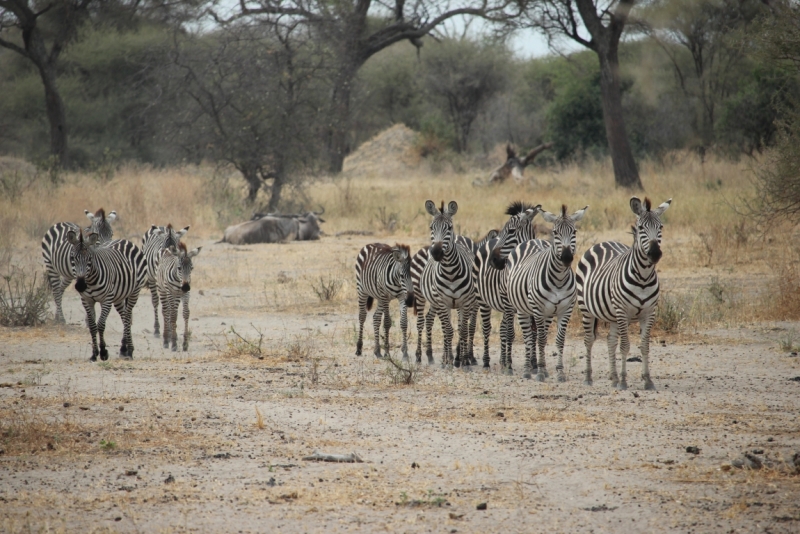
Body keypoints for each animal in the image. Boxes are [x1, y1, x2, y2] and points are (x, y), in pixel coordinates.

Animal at [65, 231, 147, 362]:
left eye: (90, 259)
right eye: (72, 258)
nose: (81, 285)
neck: (91, 281)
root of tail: (124, 240)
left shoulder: (107, 299)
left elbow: (101, 325)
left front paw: (103, 352)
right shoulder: (86, 300)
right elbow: (92, 326)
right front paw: (94, 354)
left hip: (135, 291)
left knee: (127, 318)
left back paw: (130, 350)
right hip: (119, 297)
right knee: (124, 317)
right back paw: (123, 349)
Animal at [412, 228, 494, 366]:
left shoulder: (468, 302)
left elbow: (464, 326)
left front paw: (460, 356)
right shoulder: (472, 303)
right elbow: (468, 327)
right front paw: (464, 357)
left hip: (434, 300)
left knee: (429, 319)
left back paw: (431, 355)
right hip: (420, 294)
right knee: (420, 322)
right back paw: (418, 356)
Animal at [476, 203, 544, 374]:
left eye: (511, 231)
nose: (493, 261)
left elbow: (532, 332)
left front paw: (533, 363)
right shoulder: (508, 303)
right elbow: (510, 333)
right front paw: (509, 365)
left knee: (501, 329)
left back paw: (502, 360)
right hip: (483, 300)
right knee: (487, 328)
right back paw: (487, 362)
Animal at [506, 204, 588, 382]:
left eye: (574, 232)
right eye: (555, 232)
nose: (566, 257)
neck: (559, 279)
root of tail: (531, 240)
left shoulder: (565, 310)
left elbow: (560, 340)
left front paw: (560, 372)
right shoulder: (538, 309)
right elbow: (541, 339)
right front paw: (541, 371)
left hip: (549, 313)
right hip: (522, 309)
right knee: (528, 337)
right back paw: (527, 370)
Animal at [576, 199, 668, 392]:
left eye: (661, 227)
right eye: (641, 227)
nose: (655, 253)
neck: (643, 277)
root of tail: (603, 242)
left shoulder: (649, 313)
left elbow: (645, 346)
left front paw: (647, 380)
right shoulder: (623, 311)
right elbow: (625, 346)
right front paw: (625, 381)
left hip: (612, 315)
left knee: (610, 341)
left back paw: (614, 378)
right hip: (587, 309)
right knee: (589, 340)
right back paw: (588, 378)